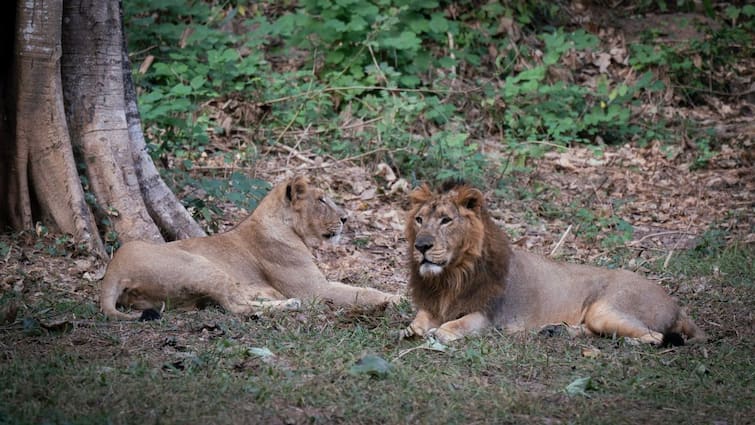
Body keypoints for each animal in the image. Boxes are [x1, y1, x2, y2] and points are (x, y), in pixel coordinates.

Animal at [100, 175, 402, 318]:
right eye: (321, 200)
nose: (345, 218)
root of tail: (114, 269)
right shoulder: (314, 289)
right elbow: (361, 292)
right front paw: (396, 299)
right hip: (201, 265)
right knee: (236, 308)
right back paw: (290, 305)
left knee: (235, 300)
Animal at [404, 180, 704, 344]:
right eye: (419, 219)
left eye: (446, 220)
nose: (421, 246)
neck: (451, 275)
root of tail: (677, 306)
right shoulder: (436, 305)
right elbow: (421, 317)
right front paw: (411, 330)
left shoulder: (488, 316)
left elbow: (458, 324)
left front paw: (441, 333)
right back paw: (556, 331)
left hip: (606, 309)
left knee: (654, 337)